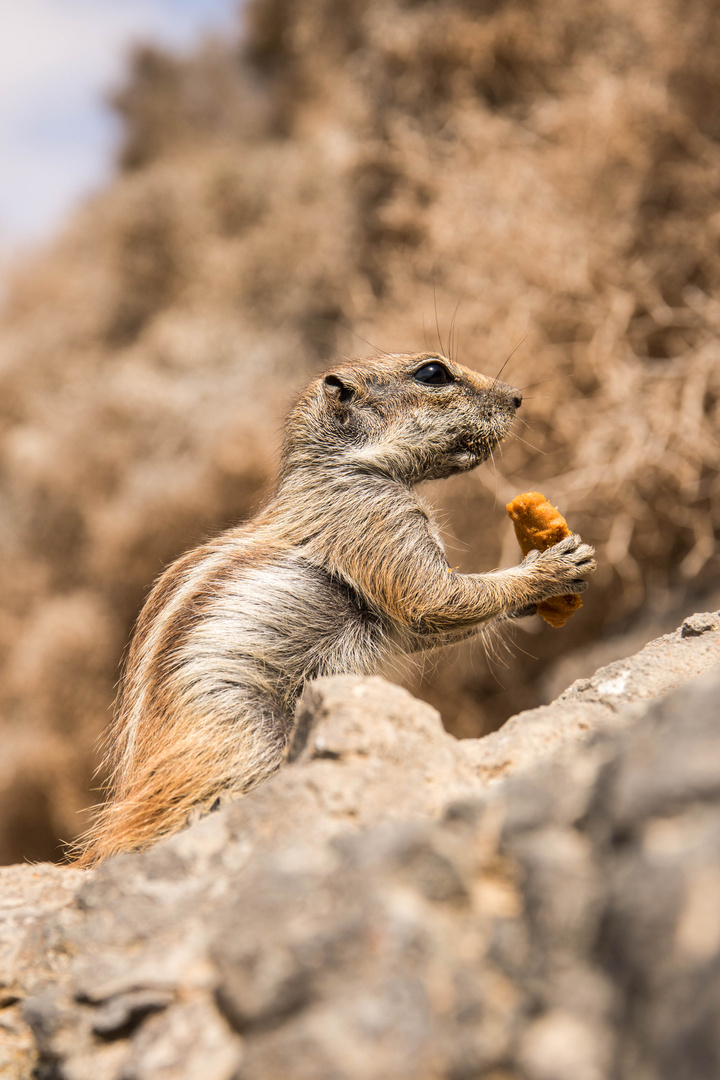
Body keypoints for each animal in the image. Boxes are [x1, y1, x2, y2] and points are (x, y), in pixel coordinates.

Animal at [78, 349, 595, 864]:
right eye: (432, 373)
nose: (518, 396)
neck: (341, 468)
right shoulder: (377, 521)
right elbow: (436, 598)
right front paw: (552, 567)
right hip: (248, 733)